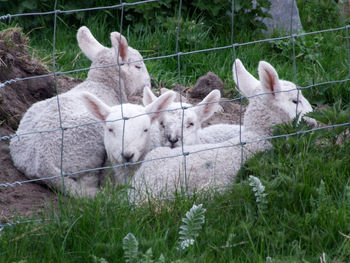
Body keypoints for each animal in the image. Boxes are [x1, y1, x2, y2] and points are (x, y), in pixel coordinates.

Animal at [9, 25, 150, 198]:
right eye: (138, 66)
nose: (149, 83)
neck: (103, 84)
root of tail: (43, 164)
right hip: (89, 150)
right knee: (86, 182)